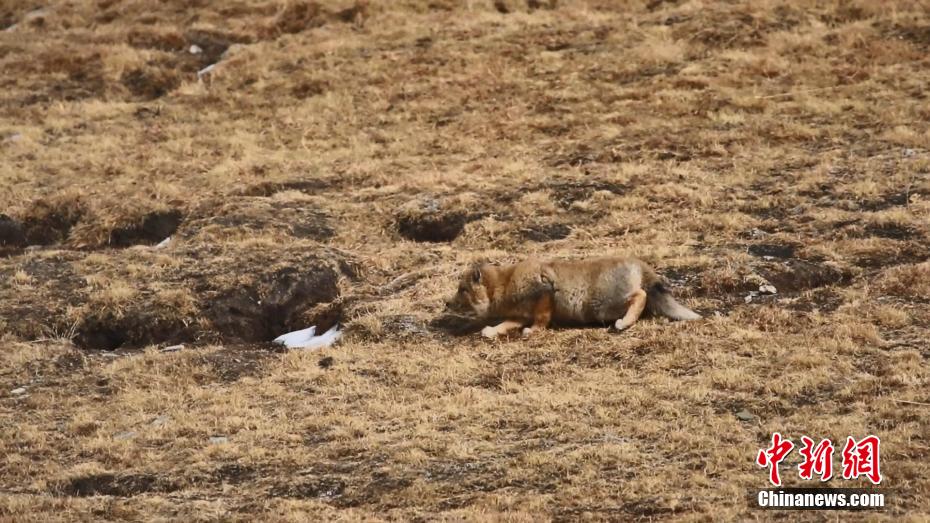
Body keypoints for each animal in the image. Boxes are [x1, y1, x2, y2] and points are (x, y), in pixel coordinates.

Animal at [446, 256, 700, 340]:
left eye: (462, 289)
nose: (446, 303)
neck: (505, 282)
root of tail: (638, 262)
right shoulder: (519, 315)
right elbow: (504, 324)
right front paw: (490, 331)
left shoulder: (544, 294)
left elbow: (540, 320)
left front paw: (533, 331)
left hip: (603, 305)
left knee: (641, 295)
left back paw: (624, 323)